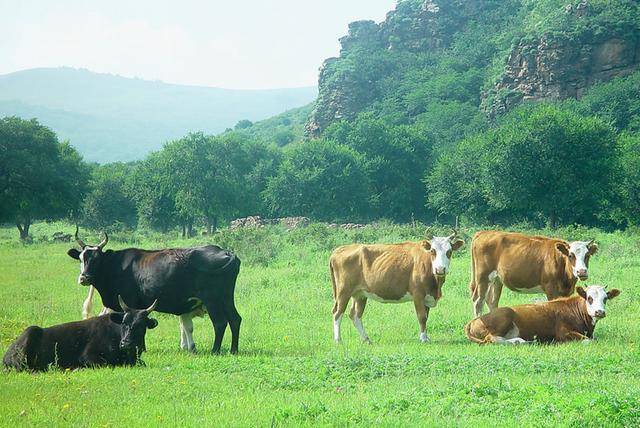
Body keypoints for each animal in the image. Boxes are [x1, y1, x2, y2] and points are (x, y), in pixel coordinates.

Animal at [4, 298, 159, 372]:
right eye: (124, 323)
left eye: (141, 325)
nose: (125, 343)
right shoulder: (88, 356)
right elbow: (107, 364)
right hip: (28, 340)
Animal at [67, 227, 242, 354]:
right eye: (81, 259)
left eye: (97, 259)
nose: (84, 278)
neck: (116, 266)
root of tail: (226, 252)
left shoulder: (128, 304)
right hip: (226, 298)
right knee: (235, 319)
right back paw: (233, 350)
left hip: (212, 300)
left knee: (220, 322)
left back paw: (215, 350)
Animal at [330, 229, 464, 342]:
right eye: (432, 251)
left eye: (449, 252)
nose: (440, 269)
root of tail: (339, 249)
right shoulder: (418, 295)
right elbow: (422, 317)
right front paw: (423, 339)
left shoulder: (427, 296)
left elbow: (426, 317)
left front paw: (426, 337)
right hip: (343, 291)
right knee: (338, 312)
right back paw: (338, 340)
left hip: (360, 294)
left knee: (355, 315)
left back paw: (366, 339)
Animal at [464, 284, 620, 344]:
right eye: (589, 298)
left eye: (605, 298)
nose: (599, 312)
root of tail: (475, 319)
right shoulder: (562, 333)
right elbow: (589, 340)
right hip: (504, 317)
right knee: (492, 338)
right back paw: (519, 341)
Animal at [468, 231, 596, 318]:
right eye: (570, 255)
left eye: (587, 255)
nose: (582, 271)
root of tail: (484, 232)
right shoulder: (551, 289)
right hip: (483, 278)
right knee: (478, 301)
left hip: (496, 280)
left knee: (491, 301)